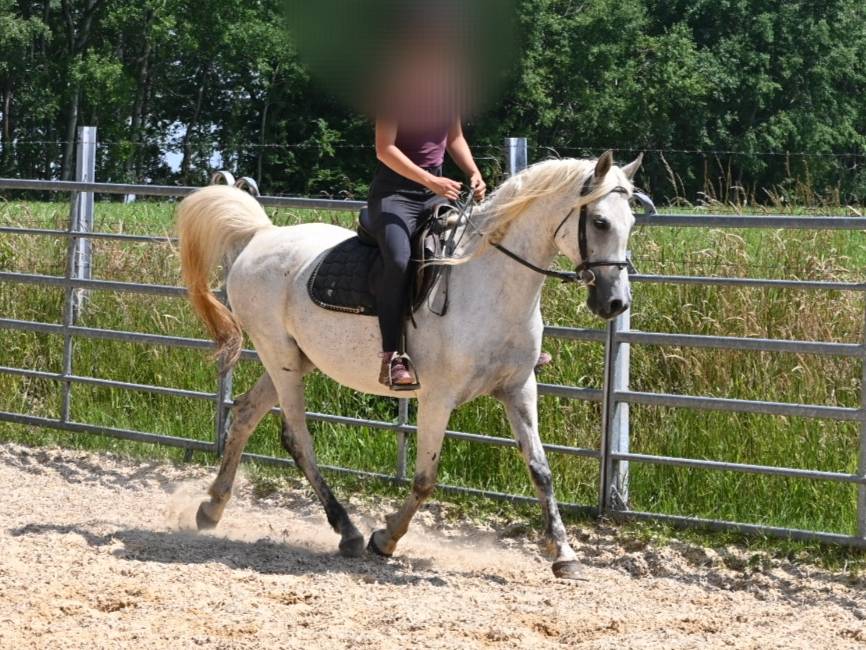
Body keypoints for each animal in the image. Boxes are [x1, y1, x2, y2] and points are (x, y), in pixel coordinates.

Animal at [176, 150, 642, 580]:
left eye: (631, 223)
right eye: (600, 222)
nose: (616, 303)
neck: (490, 284)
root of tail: (260, 235)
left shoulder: (519, 389)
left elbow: (541, 471)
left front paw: (565, 555)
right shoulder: (438, 397)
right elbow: (425, 478)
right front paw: (385, 539)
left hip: (293, 360)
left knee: (246, 414)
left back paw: (211, 508)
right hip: (280, 358)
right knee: (297, 437)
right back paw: (348, 532)